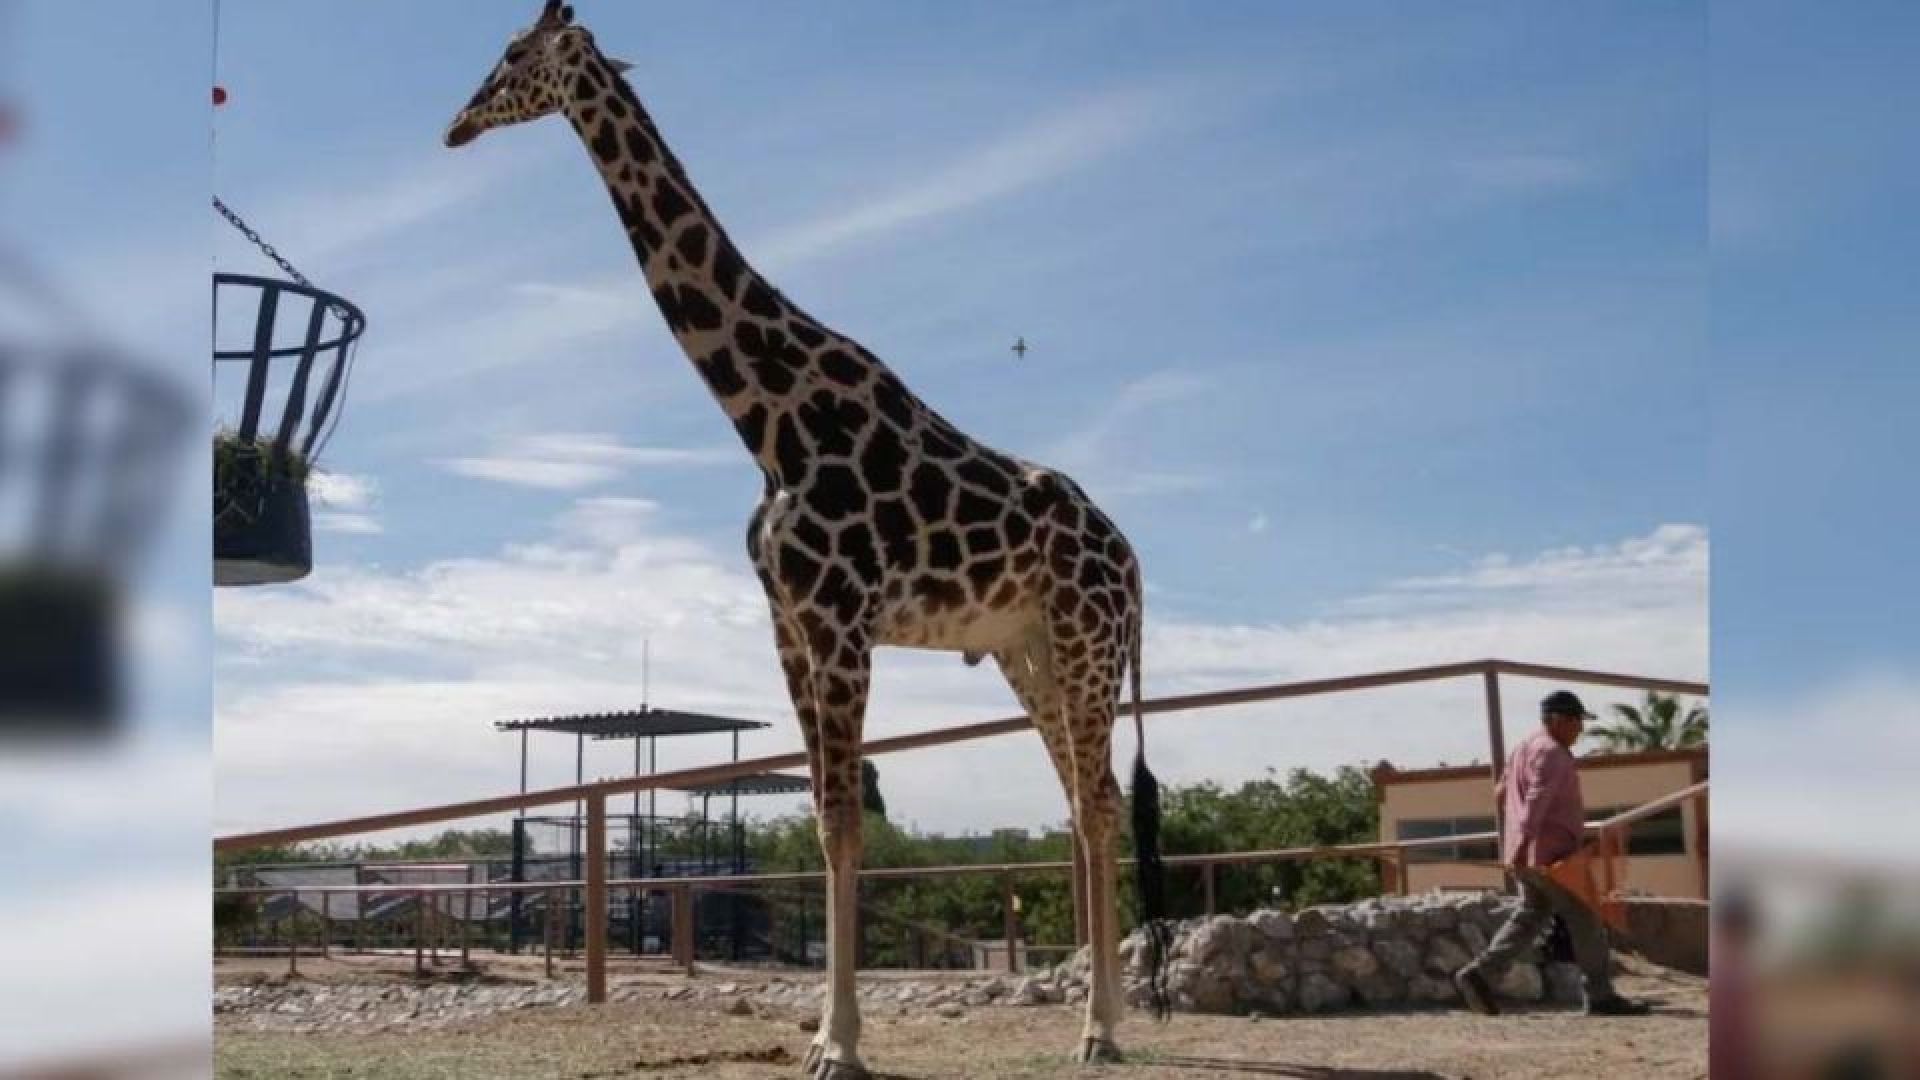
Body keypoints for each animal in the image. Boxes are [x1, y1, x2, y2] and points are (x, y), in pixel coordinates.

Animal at [446, 5, 1169, 1075]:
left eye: (510, 56)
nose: (454, 125)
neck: (768, 421)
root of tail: (1134, 562)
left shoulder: (839, 620)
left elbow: (843, 826)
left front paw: (842, 1045)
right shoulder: (788, 624)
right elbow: (829, 825)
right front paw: (828, 1034)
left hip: (1087, 643)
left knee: (1103, 801)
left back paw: (1101, 1031)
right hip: (1026, 650)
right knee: (1086, 803)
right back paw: (1096, 1020)